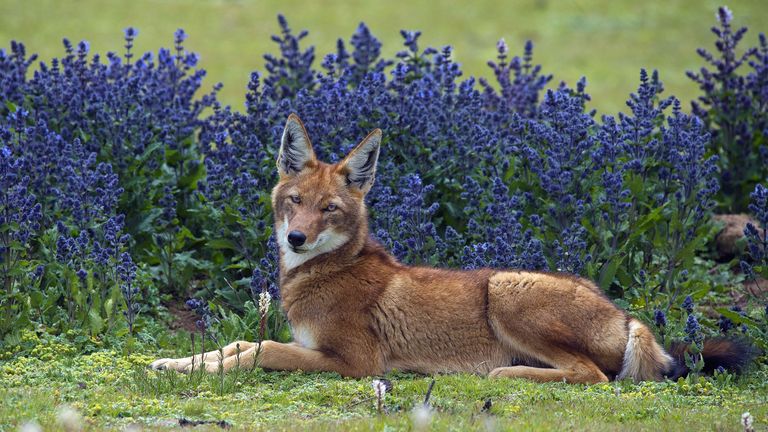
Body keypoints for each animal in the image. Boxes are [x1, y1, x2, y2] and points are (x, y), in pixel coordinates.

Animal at [148, 114, 752, 382]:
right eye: (294, 201)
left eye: (329, 209)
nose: (296, 238)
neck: (320, 273)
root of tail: (625, 315)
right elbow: (232, 345)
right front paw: (173, 363)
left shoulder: (358, 363)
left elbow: (260, 351)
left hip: (506, 290)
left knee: (592, 376)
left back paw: (506, 375)